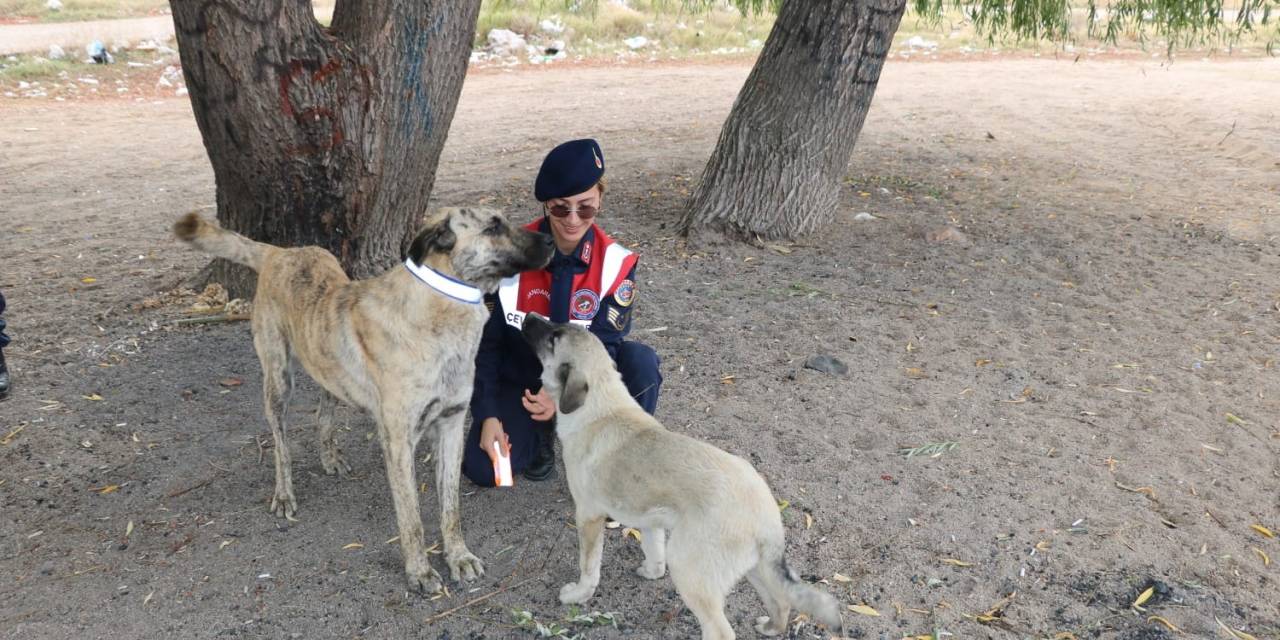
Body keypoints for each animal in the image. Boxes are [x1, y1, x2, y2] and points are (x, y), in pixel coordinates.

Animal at [170, 207, 550, 591]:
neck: (441, 306)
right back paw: (284, 494)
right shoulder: (398, 442)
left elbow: (450, 507)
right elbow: (411, 517)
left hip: (328, 368)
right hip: (278, 379)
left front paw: (458, 557)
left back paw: (330, 458)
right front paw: (420, 571)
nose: (550, 240)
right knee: (280, 445)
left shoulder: (452, 426)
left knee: (323, 416)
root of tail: (280, 253)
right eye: (493, 227)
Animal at [517, 313, 839, 640]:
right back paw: (770, 627)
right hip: (755, 569)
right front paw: (651, 572)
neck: (600, 408)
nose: (528, 317)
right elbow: (654, 552)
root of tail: (767, 515)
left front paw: (578, 594)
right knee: (781, 603)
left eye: (554, 337)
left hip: (690, 571)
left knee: (721, 629)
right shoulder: (650, 521)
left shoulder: (588, 517)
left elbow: (589, 567)